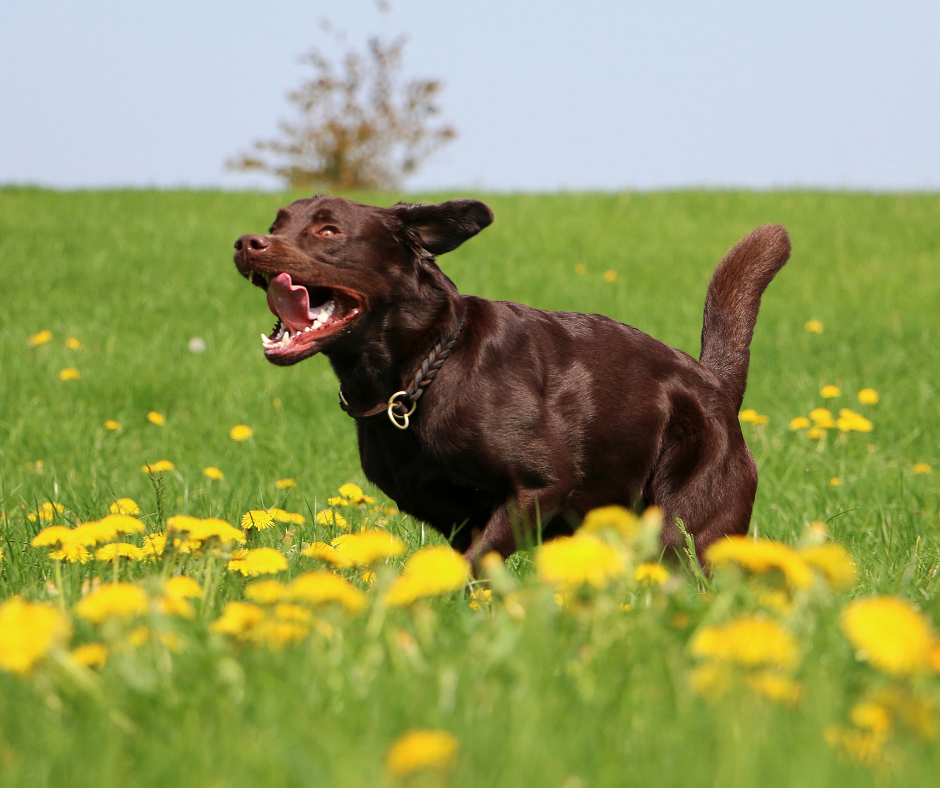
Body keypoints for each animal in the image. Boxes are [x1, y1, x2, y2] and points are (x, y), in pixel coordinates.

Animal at [231, 200, 788, 564]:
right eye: (276, 224)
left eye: (329, 231)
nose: (246, 242)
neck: (423, 369)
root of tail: (715, 385)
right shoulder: (454, 514)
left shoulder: (539, 486)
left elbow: (474, 564)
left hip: (687, 522)